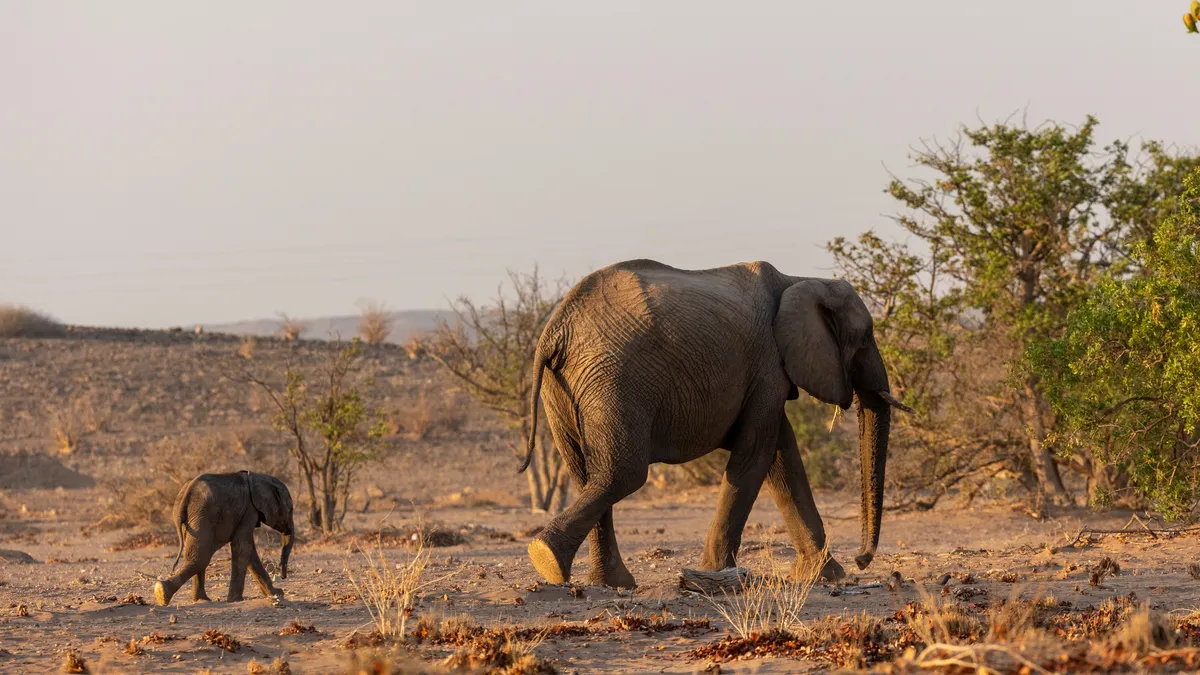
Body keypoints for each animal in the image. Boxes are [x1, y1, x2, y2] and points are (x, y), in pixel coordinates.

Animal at [153, 471, 295, 606]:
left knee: (198, 556)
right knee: (200, 559)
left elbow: (249, 552)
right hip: (204, 515)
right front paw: (235, 600)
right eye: (291, 510)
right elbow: (242, 547)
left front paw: (277, 594)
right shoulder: (249, 510)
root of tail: (188, 491)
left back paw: (200, 599)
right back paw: (162, 592)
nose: (283, 576)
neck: (257, 477)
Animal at [520, 259, 912, 588]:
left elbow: (782, 458)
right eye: (864, 339)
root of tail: (555, 330)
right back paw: (550, 560)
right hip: (613, 379)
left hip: (566, 386)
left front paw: (823, 575)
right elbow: (757, 453)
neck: (798, 279)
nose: (862, 560)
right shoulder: (768, 363)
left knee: (585, 473)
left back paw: (605, 581)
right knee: (622, 474)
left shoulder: (767, 373)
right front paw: (715, 573)